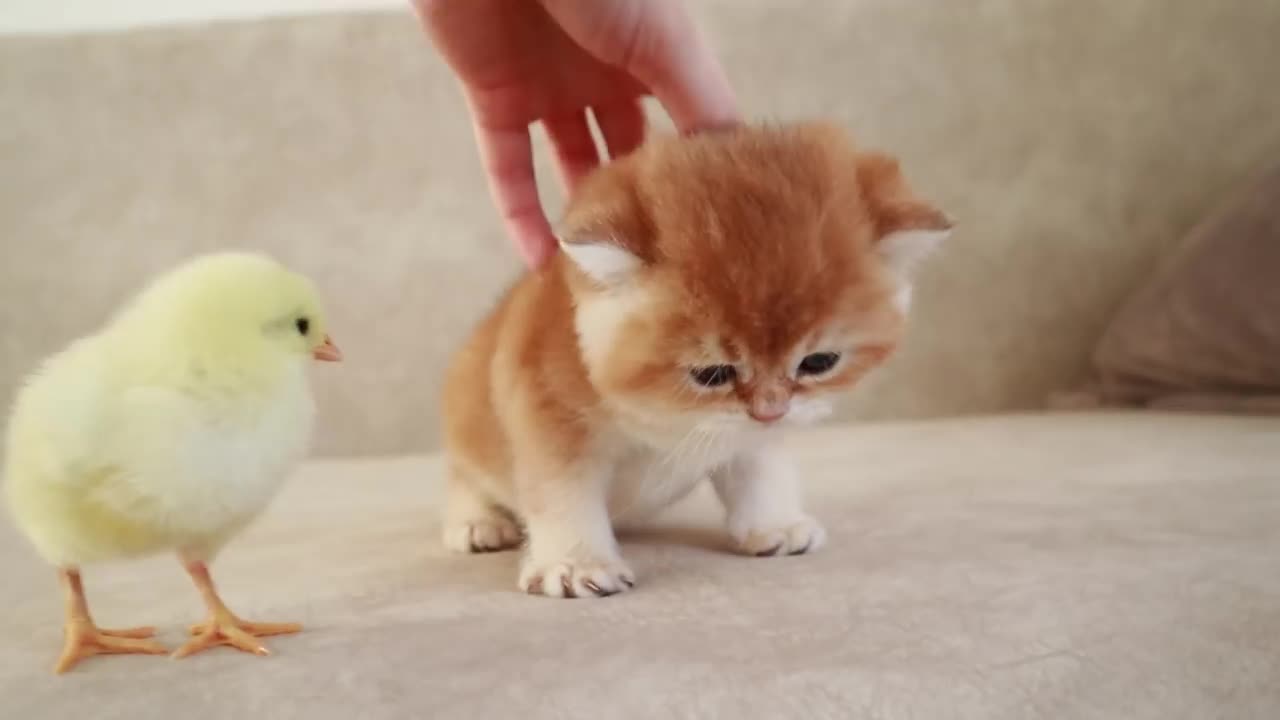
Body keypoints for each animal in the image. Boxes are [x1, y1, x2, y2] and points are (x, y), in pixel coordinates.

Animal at [440, 121, 952, 594]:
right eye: (712, 374)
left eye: (818, 363)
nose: (771, 411)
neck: (662, 413)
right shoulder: (546, 410)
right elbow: (562, 493)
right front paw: (575, 564)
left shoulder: (749, 433)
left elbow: (759, 466)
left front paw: (775, 525)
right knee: (464, 474)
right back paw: (478, 522)